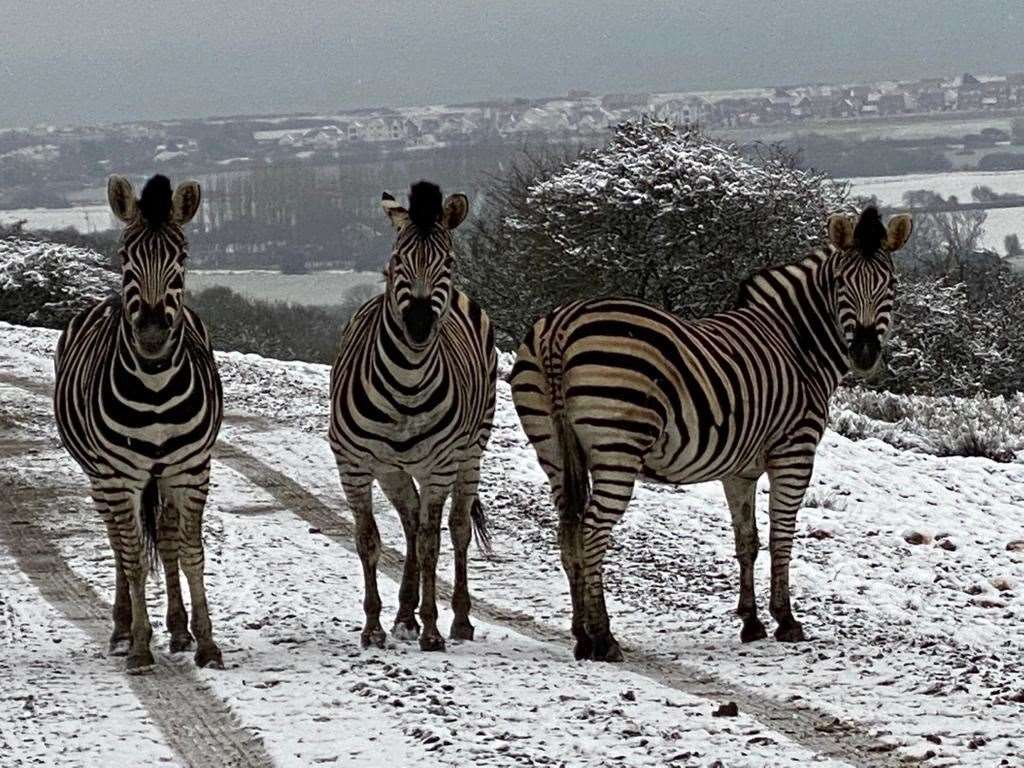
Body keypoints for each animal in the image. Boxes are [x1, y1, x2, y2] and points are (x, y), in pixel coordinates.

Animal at [52, 176, 223, 671]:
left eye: (181, 256)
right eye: (125, 255)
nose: (150, 335)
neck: (155, 387)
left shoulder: (192, 471)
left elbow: (190, 552)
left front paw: (206, 644)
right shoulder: (119, 477)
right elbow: (132, 559)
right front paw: (142, 645)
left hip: (162, 476)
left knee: (164, 538)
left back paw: (180, 630)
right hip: (99, 477)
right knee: (117, 543)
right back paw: (122, 631)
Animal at [329, 182, 497, 655]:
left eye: (450, 262)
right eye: (395, 260)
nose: (419, 325)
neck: (405, 383)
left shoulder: (439, 466)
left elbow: (430, 543)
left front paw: (433, 631)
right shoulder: (353, 464)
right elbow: (368, 540)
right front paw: (373, 627)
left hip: (471, 452)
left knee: (454, 529)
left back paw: (458, 619)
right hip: (393, 469)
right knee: (409, 521)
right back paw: (404, 615)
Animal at [512, 207, 913, 663]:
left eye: (890, 284)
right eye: (842, 284)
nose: (864, 354)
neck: (798, 345)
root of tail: (559, 327)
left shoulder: (739, 470)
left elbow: (747, 541)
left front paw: (751, 623)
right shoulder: (794, 451)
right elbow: (780, 536)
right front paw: (786, 621)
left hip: (552, 447)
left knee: (568, 531)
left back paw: (581, 636)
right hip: (618, 445)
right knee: (593, 531)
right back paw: (604, 638)